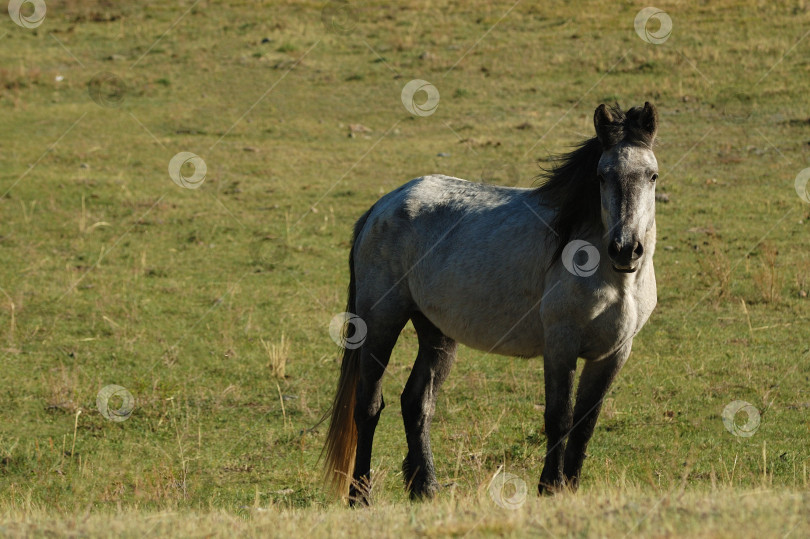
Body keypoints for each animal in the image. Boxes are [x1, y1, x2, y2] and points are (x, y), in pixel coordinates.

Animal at [320, 102, 656, 506]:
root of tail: (382, 206)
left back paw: (426, 489)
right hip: (381, 321)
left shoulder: (613, 353)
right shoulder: (561, 346)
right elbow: (559, 418)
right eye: (602, 176)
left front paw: (570, 489)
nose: (626, 249)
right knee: (368, 406)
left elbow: (585, 424)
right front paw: (549, 489)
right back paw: (361, 498)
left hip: (436, 333)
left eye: (652, 175)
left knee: (417, 403)